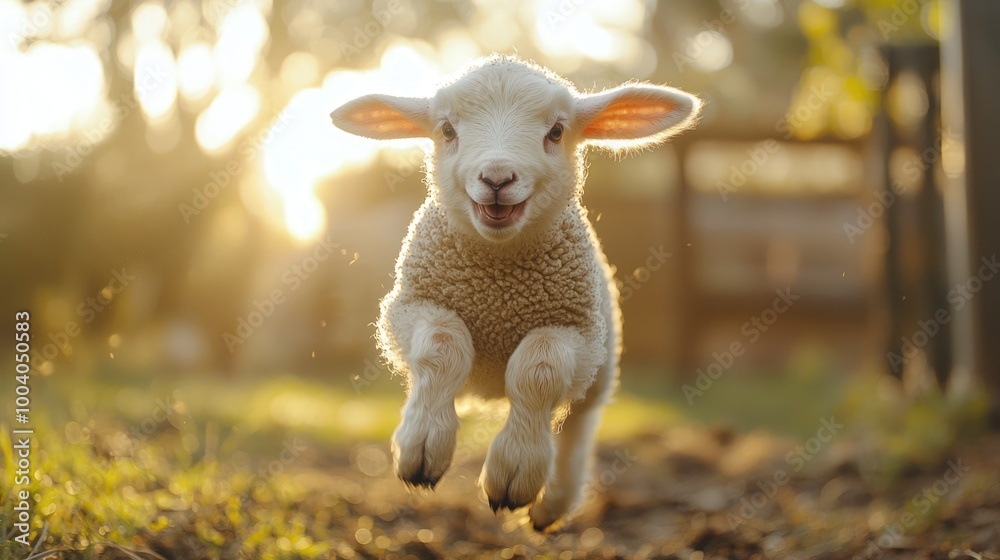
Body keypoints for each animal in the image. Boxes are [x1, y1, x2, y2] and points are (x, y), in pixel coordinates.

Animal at [330, 54, 701, 531]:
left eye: (557, 131)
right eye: (446, 130)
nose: (497, 178)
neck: (499, 283)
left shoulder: (576, 332)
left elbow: (538, 370)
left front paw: (513, 474)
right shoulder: (410, 307)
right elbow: (442, 346)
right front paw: (423, 448)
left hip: (601, 366)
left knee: (576, 428)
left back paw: (551, 506)